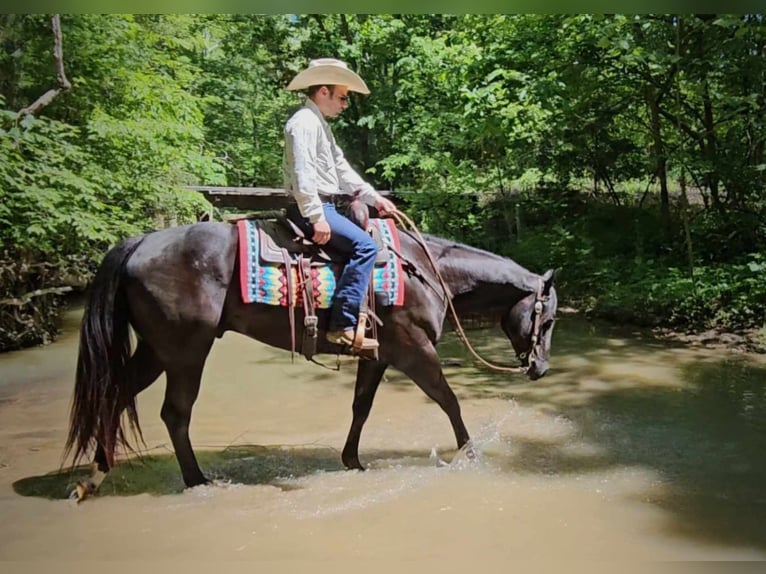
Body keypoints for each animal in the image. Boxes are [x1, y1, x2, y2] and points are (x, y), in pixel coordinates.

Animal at [65, 216, 558, 500]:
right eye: (548, 319)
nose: (541, 369)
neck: (425, 271)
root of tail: (140, 241)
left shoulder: (378, 355)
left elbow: (361, 406)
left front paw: (352, 460)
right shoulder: (414, 350)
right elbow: (448, 399)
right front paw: (470, 452)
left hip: (157, 350)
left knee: (115, 394)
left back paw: (94, 477)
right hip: (186, 351)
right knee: (175, 413)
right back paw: (196, 480)